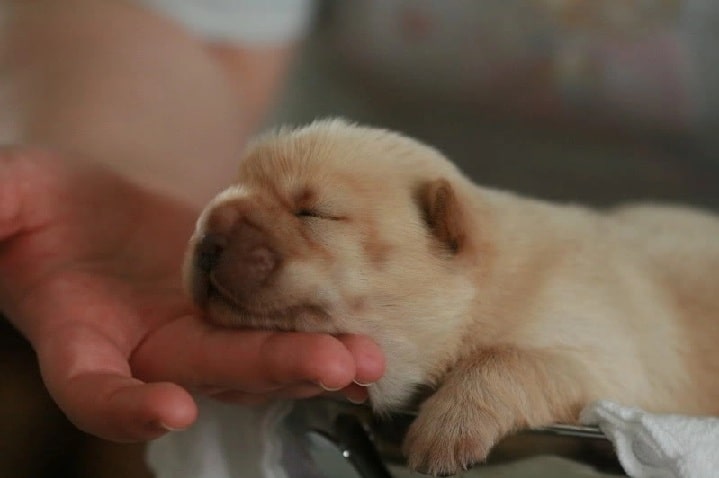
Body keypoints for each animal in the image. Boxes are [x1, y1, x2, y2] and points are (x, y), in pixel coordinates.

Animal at [184, 118, 719, 474]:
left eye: (312, 212)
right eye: (232, 188)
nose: (209, 232)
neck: (485, 289)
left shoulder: (610, 366)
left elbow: (508, 359)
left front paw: (447, 428)